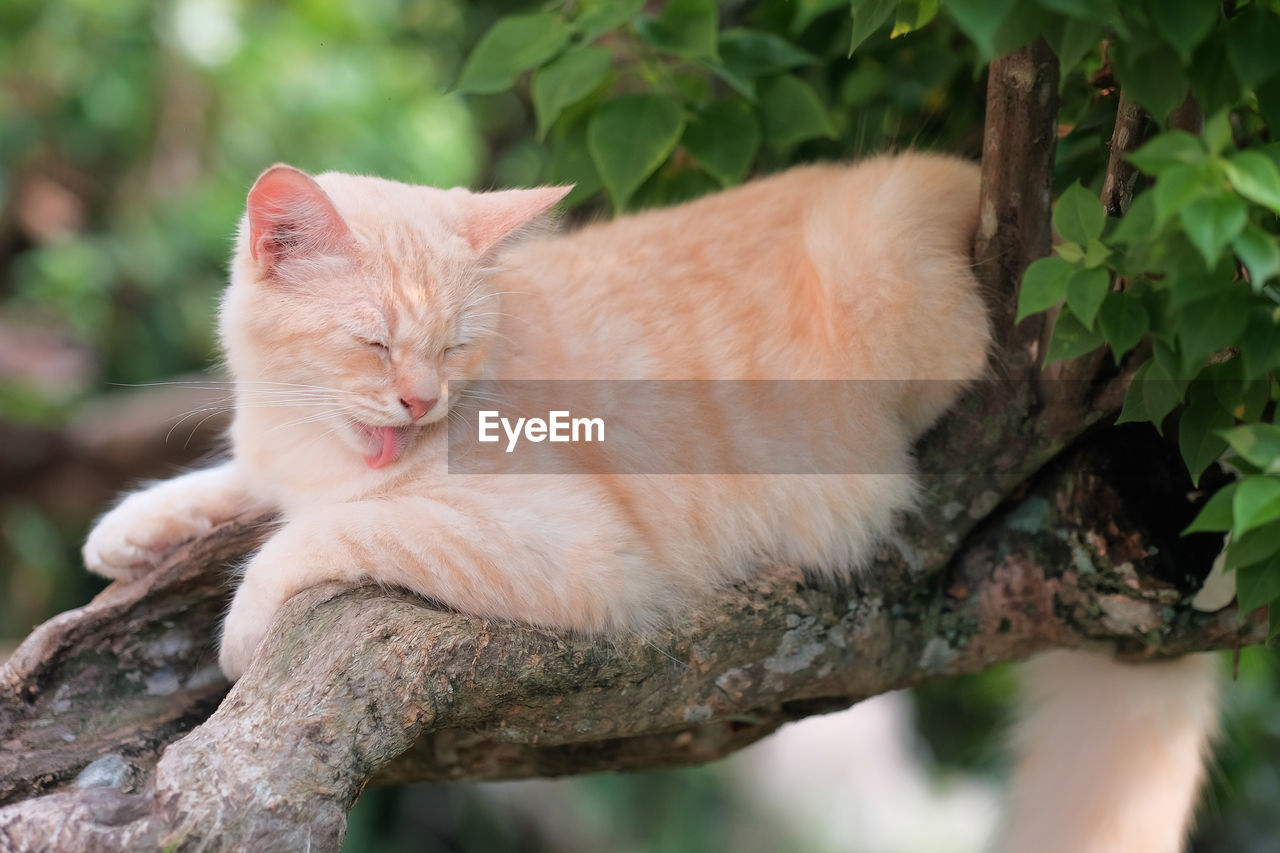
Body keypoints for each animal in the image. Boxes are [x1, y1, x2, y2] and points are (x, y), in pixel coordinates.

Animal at [82, 159, 1218, 850]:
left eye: (453, 345)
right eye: (372, 341)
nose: (419, 400)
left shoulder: (568, 545)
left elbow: (322, 532)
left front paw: (240, 619)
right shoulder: (283, 452)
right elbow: (245, 481)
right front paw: (134, 527)